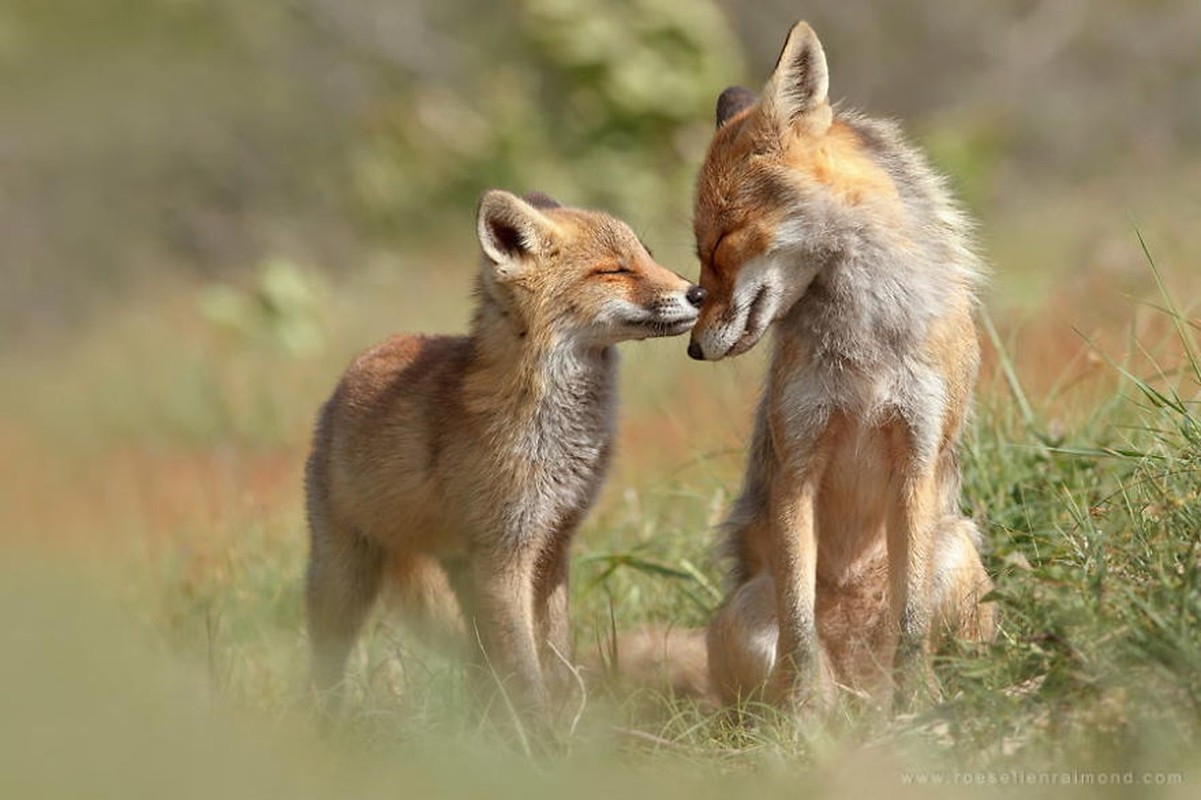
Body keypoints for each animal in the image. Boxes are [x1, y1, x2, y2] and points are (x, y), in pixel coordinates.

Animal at [305, 189, 706, 711]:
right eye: (614, 270)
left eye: (647, 256)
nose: (699, 292)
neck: (555, 433)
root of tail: (357, 365)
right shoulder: (505, 555)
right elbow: (524, 669)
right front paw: (539, 730)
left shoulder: (553, 542)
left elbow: (555, 656)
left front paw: (566, 718)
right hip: (345, 578)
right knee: (325, 662)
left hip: (461, 572)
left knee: (478, 664)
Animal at [686, 20, 994, 706]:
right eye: (698, 253)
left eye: (720, 243)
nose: (692, 348)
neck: (865, 344)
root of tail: (861, 686)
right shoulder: (797, 466)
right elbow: (800, 634)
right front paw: (807, 720)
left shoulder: (916, 457)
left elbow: (911, 625)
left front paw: (918, 711)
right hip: (745, 614)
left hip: (958, 552)